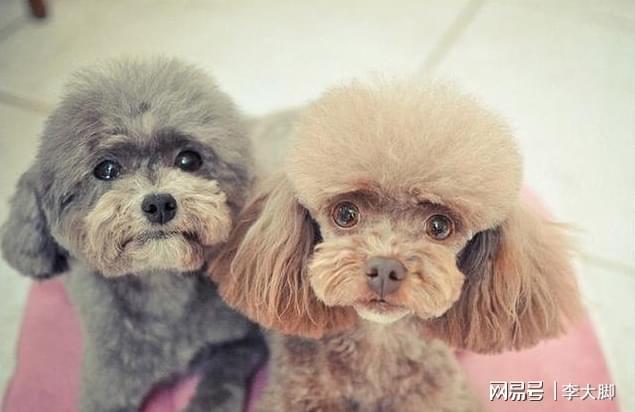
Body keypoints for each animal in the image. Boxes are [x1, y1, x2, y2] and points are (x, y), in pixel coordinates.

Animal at [1, 57, 267, 412]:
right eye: (106, 169)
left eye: (189, 159)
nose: (159, 204)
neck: (161, 285)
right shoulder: (108, 387)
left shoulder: (239, 341)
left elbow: (219, 381)